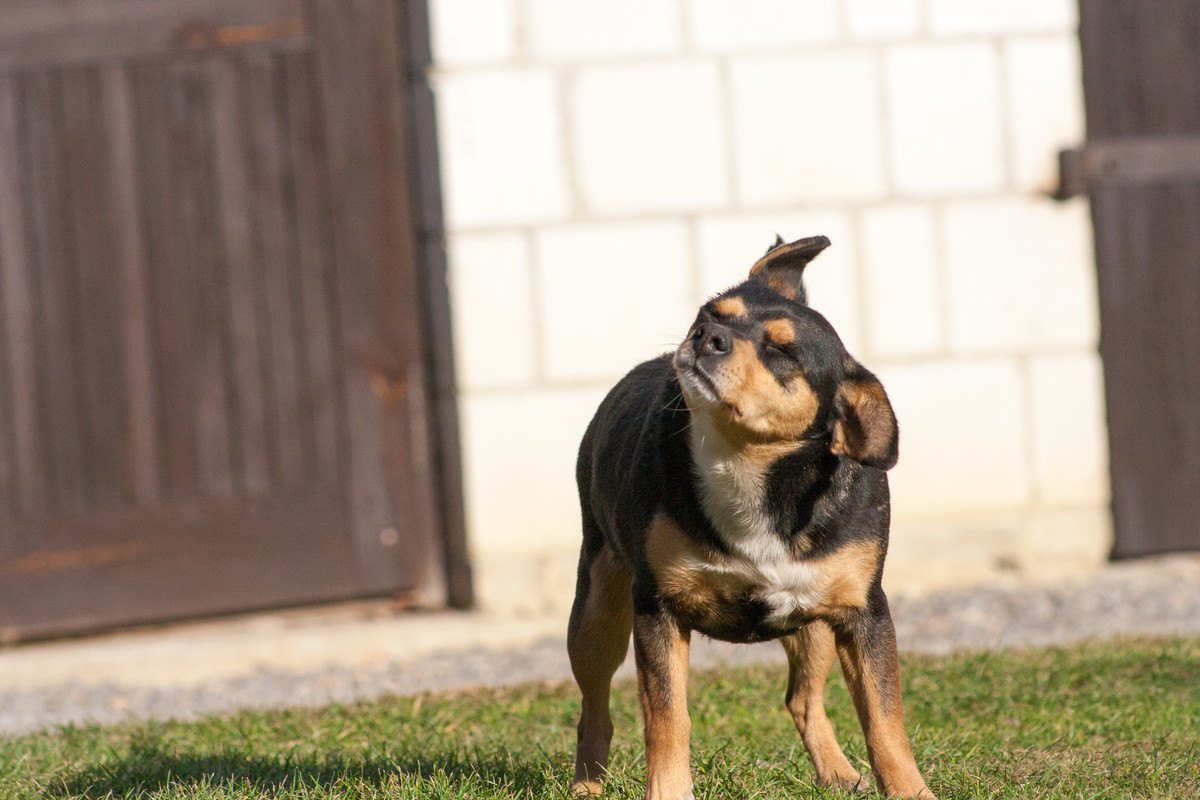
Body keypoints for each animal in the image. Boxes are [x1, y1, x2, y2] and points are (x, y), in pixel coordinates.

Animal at [566, 236, 931, 800]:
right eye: (710, 313)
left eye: (782, 351)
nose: (706, 336)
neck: (746, 463)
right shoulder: (658, 608)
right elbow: (668, 720)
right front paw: (669, 791)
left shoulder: (862, 611)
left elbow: (884, 720)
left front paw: (911, 790)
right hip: (596, 613)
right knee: (595, 709)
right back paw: (588, 783)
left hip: (815, 622)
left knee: (802, 699)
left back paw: (836, 771)